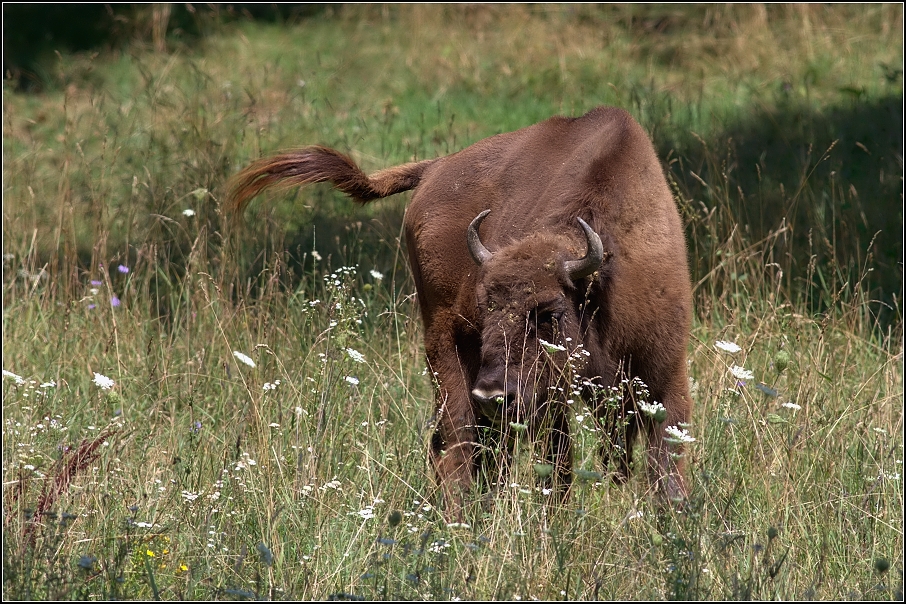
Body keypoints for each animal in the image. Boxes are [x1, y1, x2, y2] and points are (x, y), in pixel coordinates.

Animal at [226, 106, 692, 516]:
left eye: (548, 312)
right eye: (488, 306)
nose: (492, 394)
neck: (601, 286)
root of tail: (435, 169)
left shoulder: (664, 376)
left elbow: (658, 464)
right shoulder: (548, 399)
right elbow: (557, 463)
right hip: (445, 347)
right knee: (458, 437)